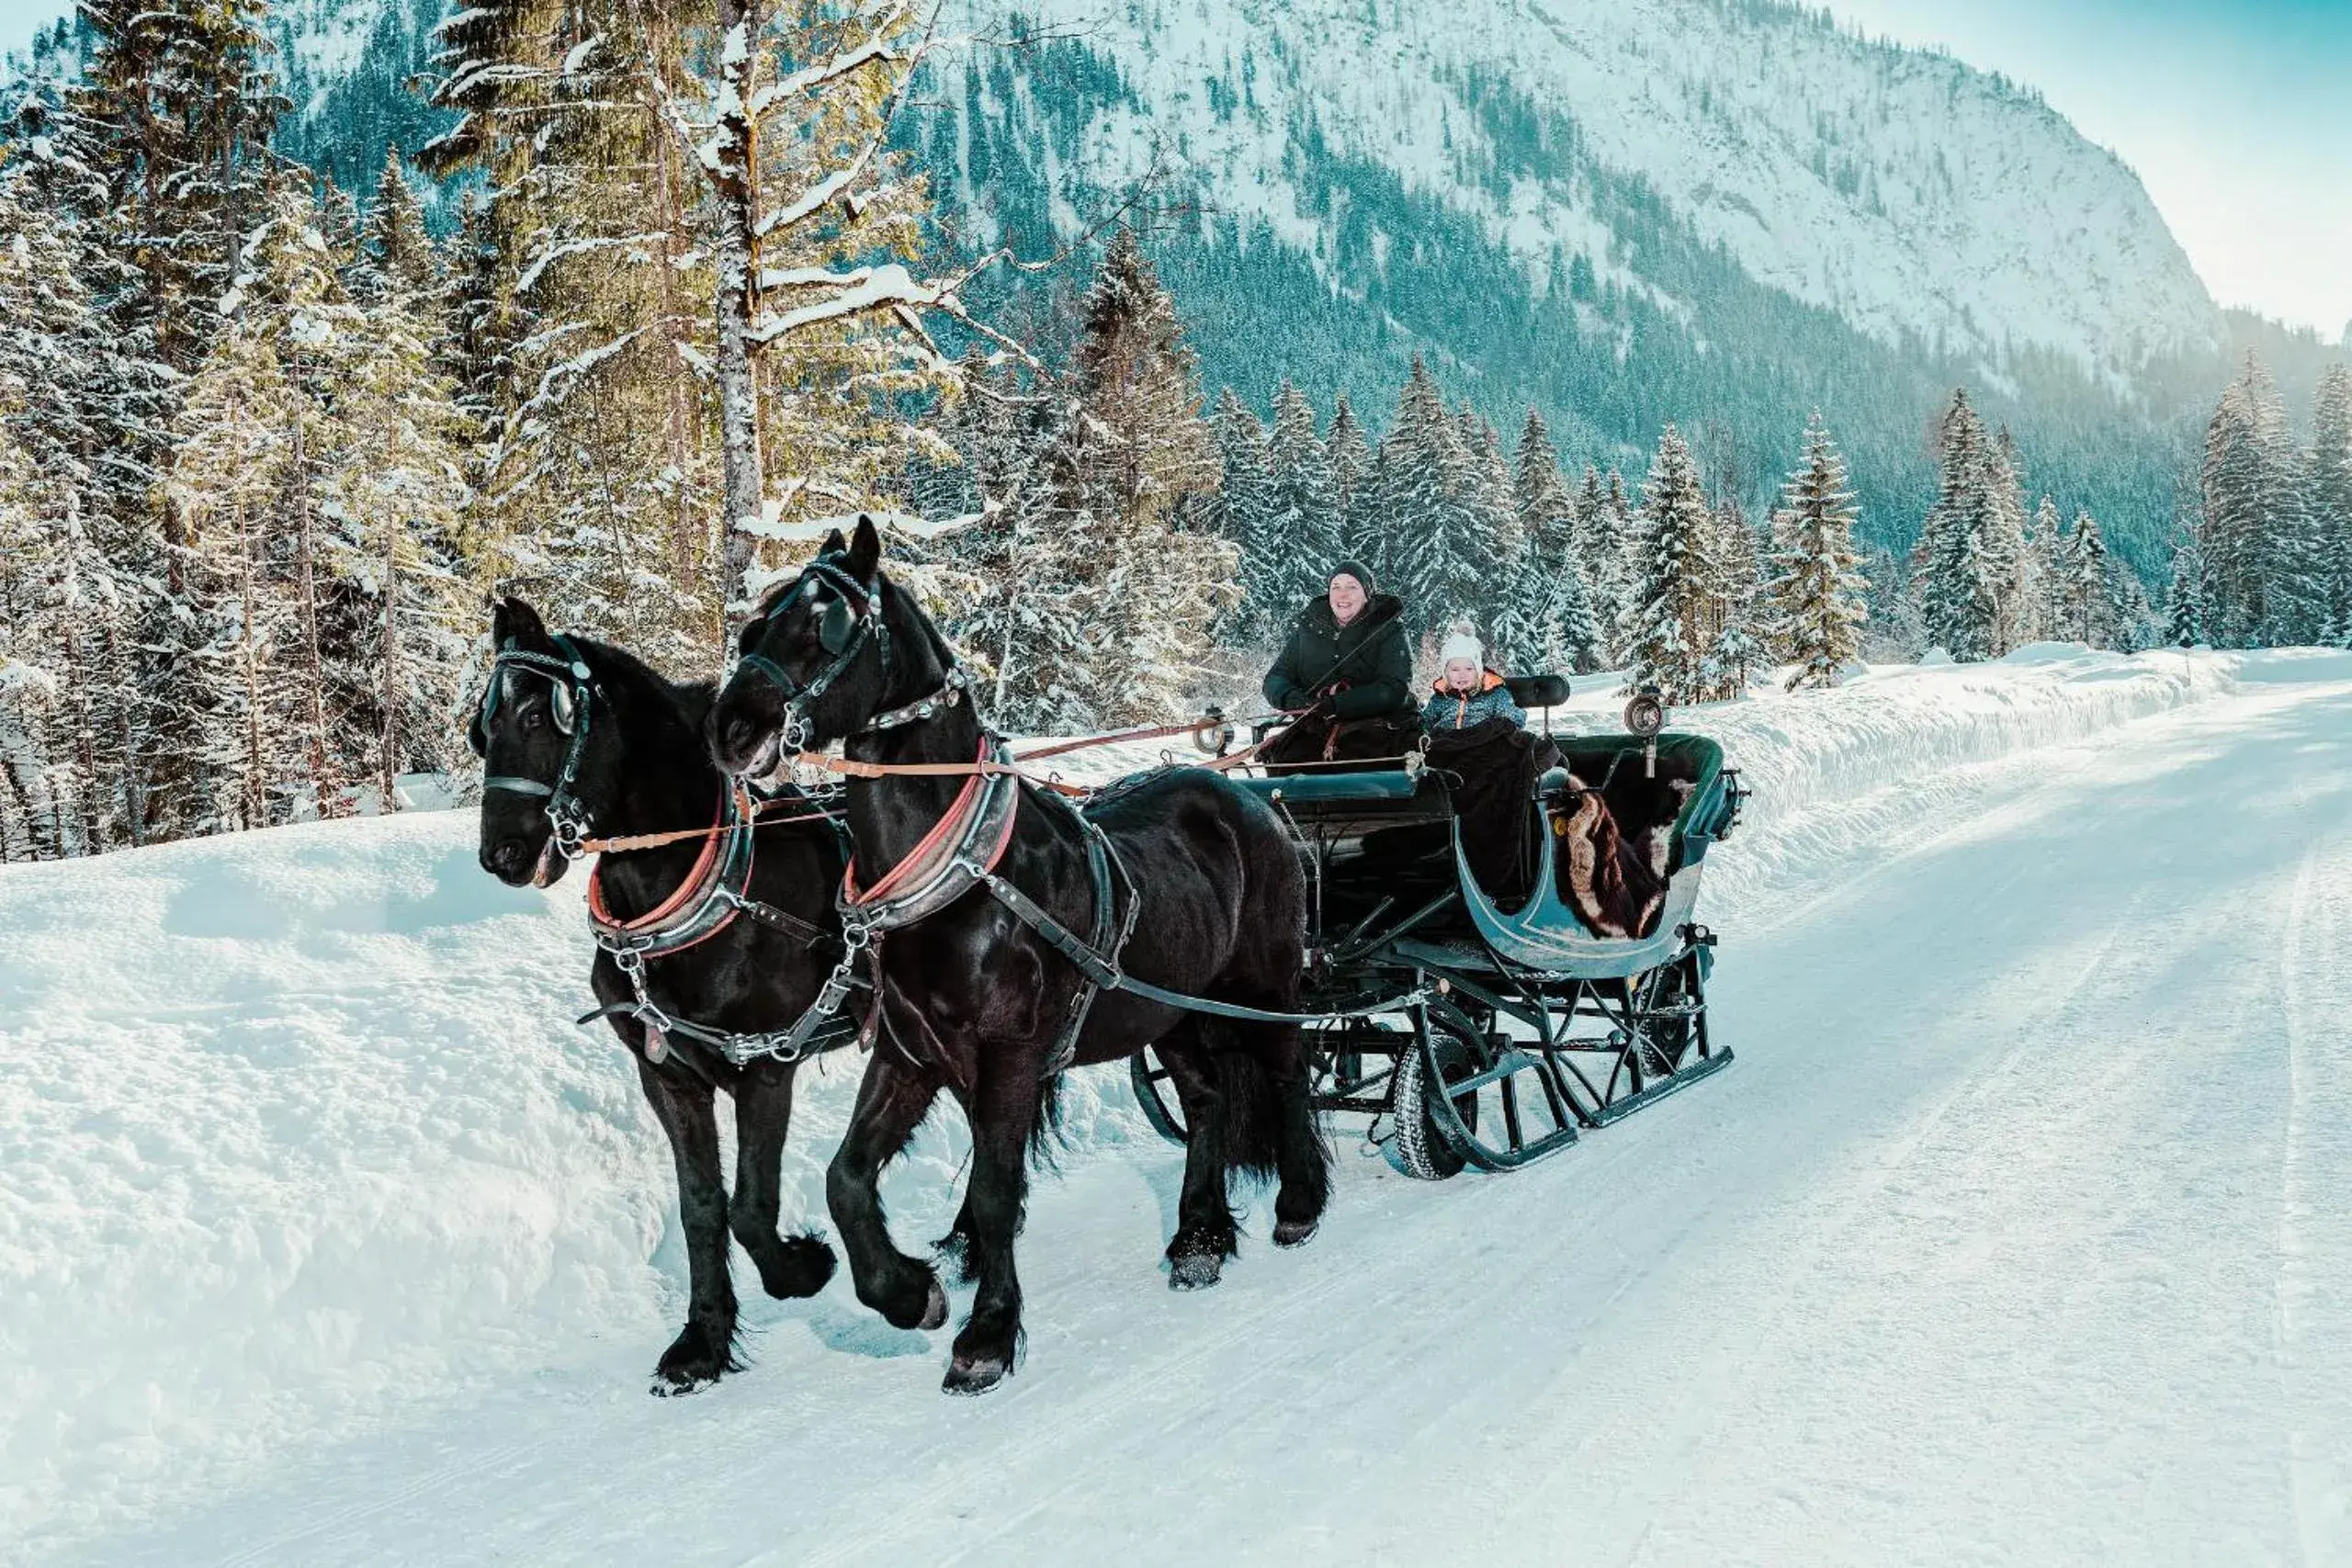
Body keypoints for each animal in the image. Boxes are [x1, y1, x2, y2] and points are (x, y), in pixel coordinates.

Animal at [468, 594, 846, 1392]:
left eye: (541, 715)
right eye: (480, 728)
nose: (501, 854)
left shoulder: (767, 1064)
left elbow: (752, 1207)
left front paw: (805, 1266)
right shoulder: (667, 1075)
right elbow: (703, 1206)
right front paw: (702, 1341)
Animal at [695, 522, 1336, 1392]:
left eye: (825, 624)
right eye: (756, 626)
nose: (731, 730)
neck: (963, 880)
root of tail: (1252, 802)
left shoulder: (1009, 1053)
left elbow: (996, 1192)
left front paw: (986, 1336)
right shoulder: (911, 1053)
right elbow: (846, 1178)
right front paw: (909, 1294)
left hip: (1262, 986)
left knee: (1287, 1072)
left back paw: (1299, 1205)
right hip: (1167, 1009)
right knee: (1206, 1096)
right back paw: (1198, 1239)